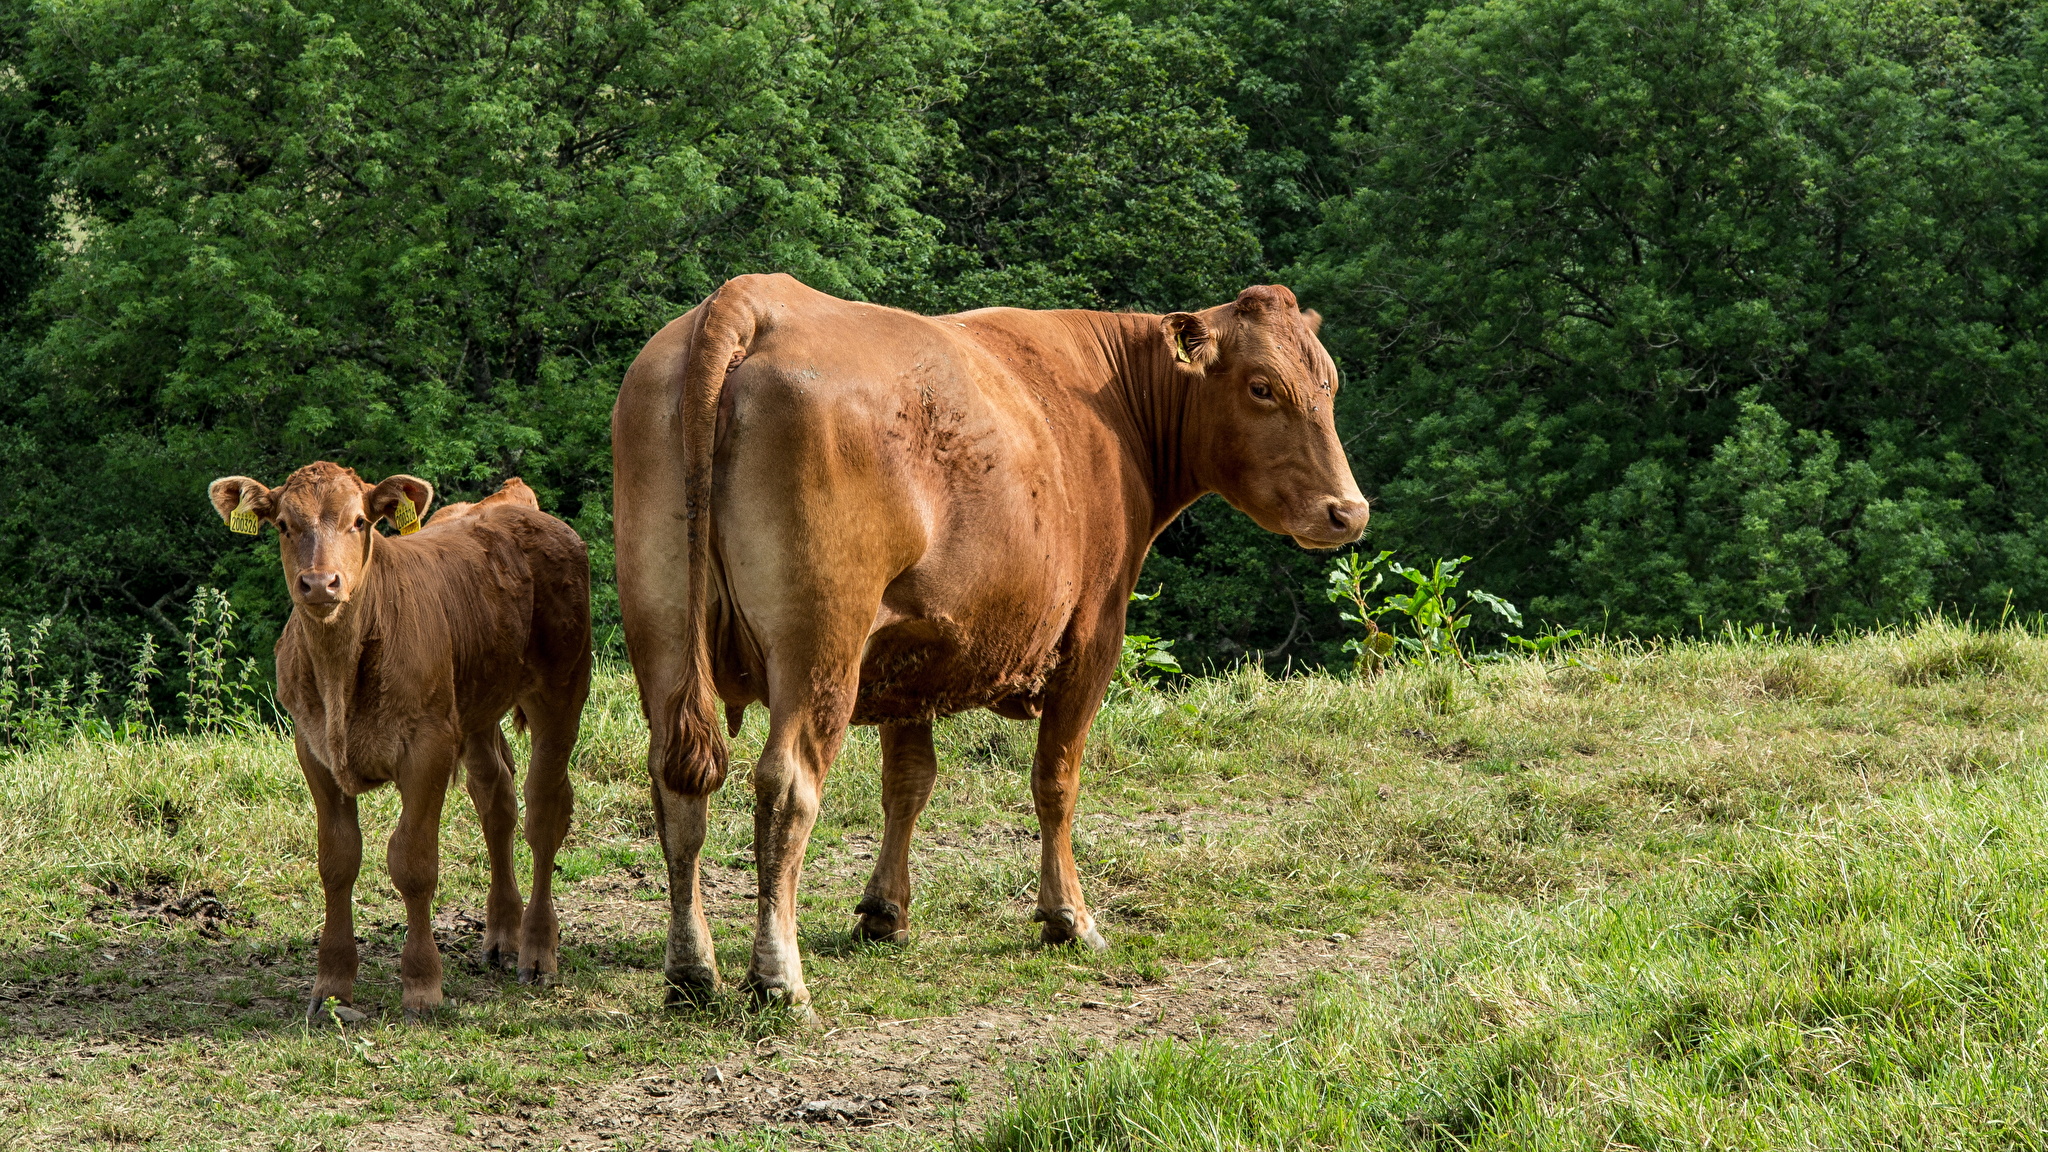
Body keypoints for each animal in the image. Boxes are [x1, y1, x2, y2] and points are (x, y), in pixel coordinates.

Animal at [205, 461, 593, 1016]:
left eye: (360, 521)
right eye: (283, 524)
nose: (319, 582)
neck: (341, 672)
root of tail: (509, 502)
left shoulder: (427, 747)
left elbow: (412, 863)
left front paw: (422, 986)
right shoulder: (314, 751)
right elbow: (337, 860)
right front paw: (331, 985)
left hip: (561, 688)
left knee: (545, 810)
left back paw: (538, 952)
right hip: (475, 707)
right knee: (496, 798)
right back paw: (502, 935)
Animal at [614, 276, 1368, 1004]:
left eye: (1330, 383)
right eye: (1262, 386)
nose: (1349, 511)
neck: (1110, 405)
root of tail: (749, 297)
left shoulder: (910, 647)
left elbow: (908, 781)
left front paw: (885, 911)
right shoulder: (1092, 637)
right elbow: (1056, 779)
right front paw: (1068, 918)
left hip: (663, 625)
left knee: (677, 781)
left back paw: (691, 970)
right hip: (820, 645)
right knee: (786, 785)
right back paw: (778, 978)